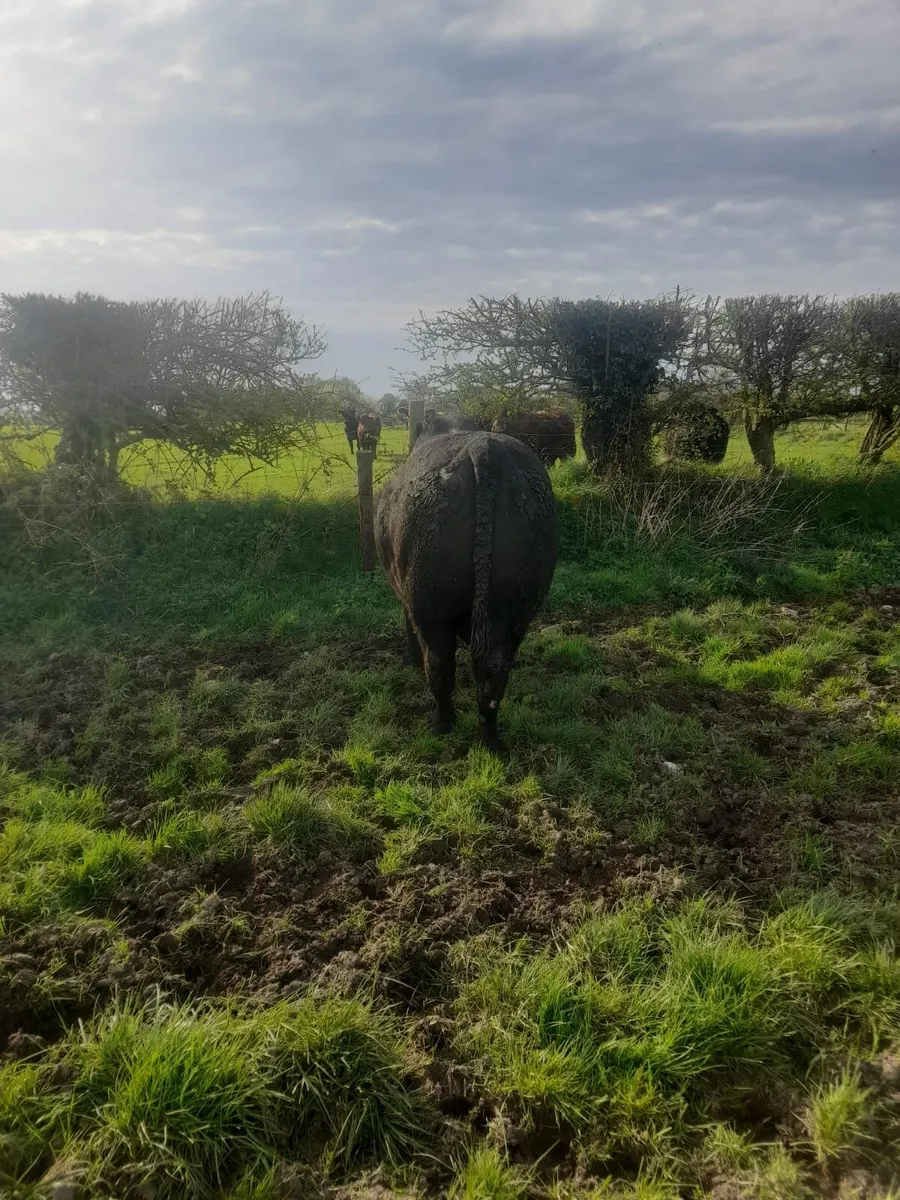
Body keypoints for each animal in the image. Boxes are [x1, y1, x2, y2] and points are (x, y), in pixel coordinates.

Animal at [375, 431, 558, 751]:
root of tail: (483, 446)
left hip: (431, 611)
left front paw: (409, 658)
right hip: (516, 610)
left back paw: (443, 725)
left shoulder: (408, 601)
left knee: (438, 667)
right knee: (494, 674)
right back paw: (490, 741)